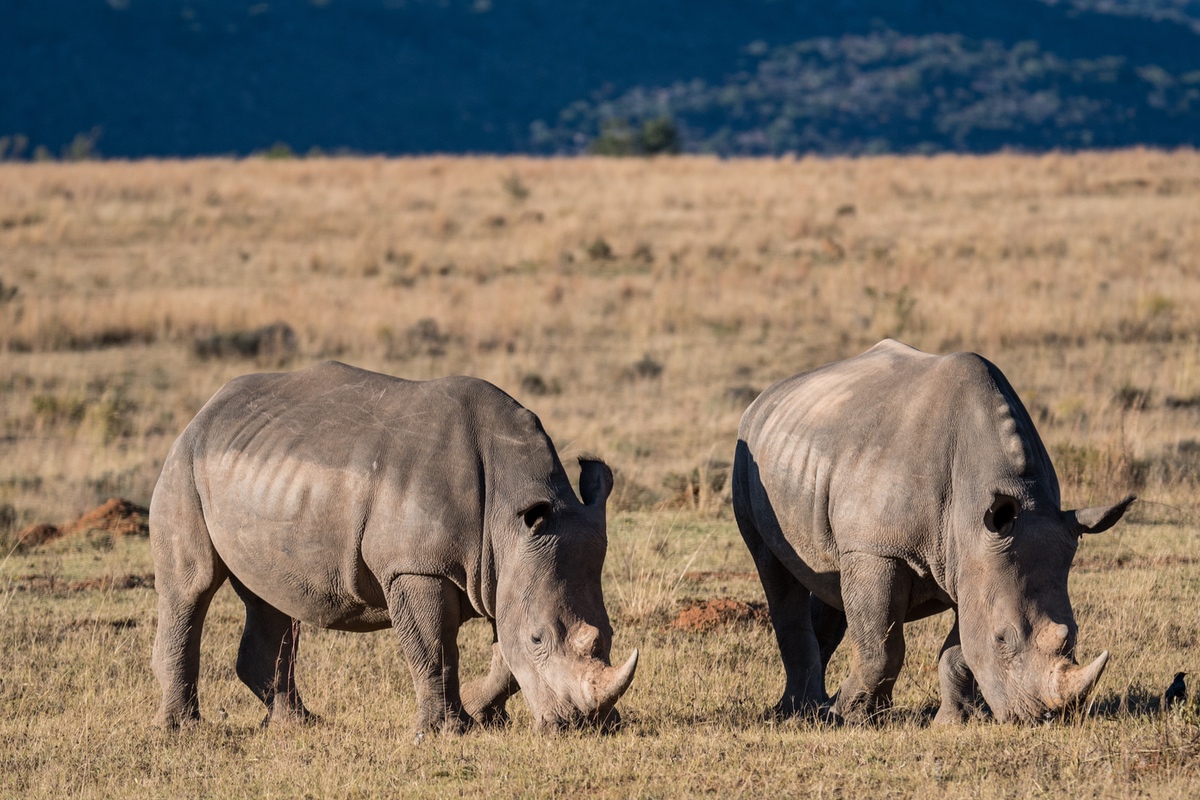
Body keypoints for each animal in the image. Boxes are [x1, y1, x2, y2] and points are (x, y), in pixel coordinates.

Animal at [150, 361, 638, 735]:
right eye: (540, 638)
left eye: (611, 635)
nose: (581, 727)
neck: (509, 510)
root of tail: (206, 409)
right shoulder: (416, 566)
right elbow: (434, 648)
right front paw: (446, 731)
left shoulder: (509, 566)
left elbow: (505, 652)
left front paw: (481, 714)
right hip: (184, 463)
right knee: (191, 588)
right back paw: (183, 730)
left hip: (256, 472)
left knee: (269, 596)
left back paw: (298, 724)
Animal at [733, 340, 1133, 724]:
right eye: (1002, 638)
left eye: (1075, 633)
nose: (1044, 717)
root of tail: (765, 397)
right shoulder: (879, 548)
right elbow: (882, 644)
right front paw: (850, 718)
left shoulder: (973, 558)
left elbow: (960, 648)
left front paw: (956, 721)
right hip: (749, 457)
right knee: (776, 572)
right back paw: (801, 711)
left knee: (830, 580)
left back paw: (811, 707)